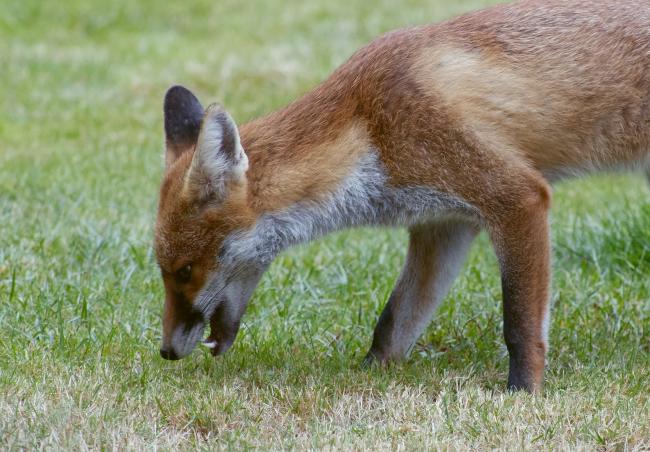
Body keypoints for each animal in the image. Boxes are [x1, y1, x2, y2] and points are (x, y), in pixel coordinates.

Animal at [154, 0, 650, 392]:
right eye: (167, 271)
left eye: (184, 271)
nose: (166, 352)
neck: (367, 126)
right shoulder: (443, 225)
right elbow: (393, 323)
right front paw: (370, 377)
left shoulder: (516, 196)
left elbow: (519, 325)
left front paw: (523, 393)